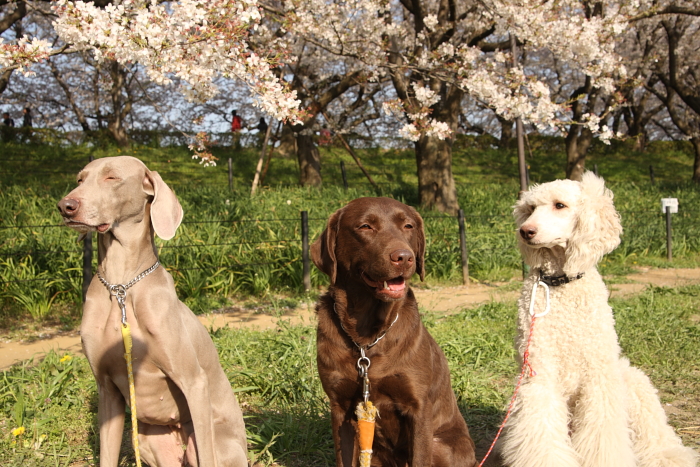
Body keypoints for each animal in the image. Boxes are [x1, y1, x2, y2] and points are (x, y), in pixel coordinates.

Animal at [312, 198, 476, 467]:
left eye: (408, 226)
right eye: (365, 226)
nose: (404, 257)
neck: (367, 338)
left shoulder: (418, 408)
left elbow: (420, 457)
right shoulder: (341, 409)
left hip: (440, 444)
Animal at [500, 173, 696, 467]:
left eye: (560, 205)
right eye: (531, 208)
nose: (526, 231)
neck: (562, 283)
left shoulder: (598, 378)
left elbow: (601, 433)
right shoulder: (539, 374)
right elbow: (543, 430)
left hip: (633, 384)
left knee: (657, 436)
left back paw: (668, 456)